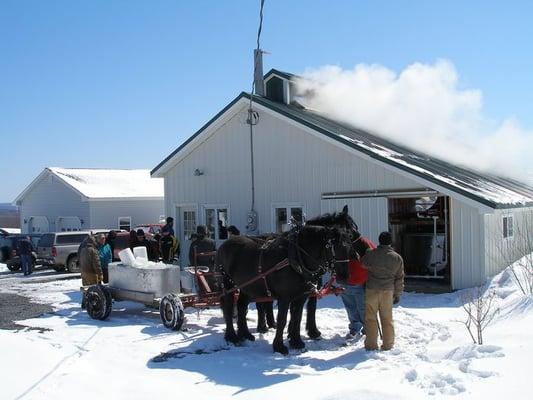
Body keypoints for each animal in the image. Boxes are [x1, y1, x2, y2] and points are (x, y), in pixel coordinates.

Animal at [216, 223, 354, 354]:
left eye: (349, 246)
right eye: (336, 247)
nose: (345, 276)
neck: (296, 258)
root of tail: (223, 245)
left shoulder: (301, 297)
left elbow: (297, 318)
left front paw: (296, 342)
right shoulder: (285, 297)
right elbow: (282, 320)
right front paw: (279, 347)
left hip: (247, 286)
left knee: (241, 306)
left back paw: (245, 334)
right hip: (227, 284)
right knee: (228, 307)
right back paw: (232, 337)